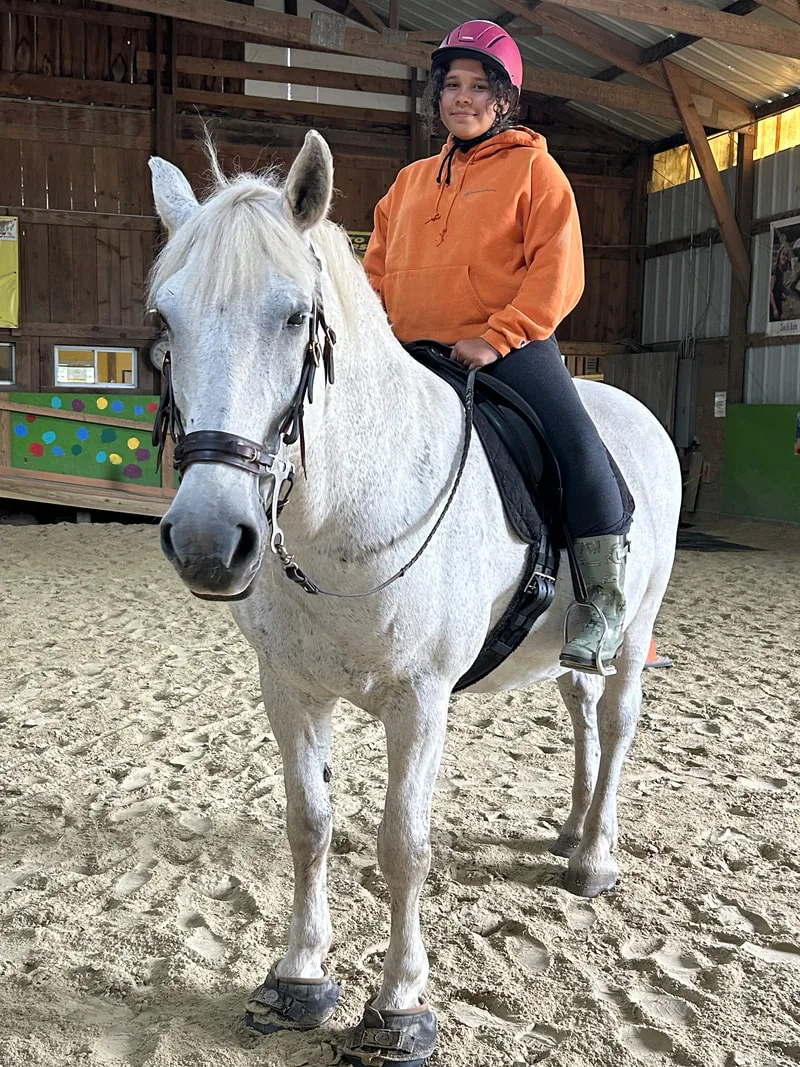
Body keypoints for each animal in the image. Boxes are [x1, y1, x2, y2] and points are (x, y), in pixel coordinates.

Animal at [148, 130, 681, 1066]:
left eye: (296, 316)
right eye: (167, 320)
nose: (210, 540)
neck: (344, 518)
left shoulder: (420, 699)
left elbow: (404, 844)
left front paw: (399, 1005)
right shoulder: (290, 689)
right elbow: (310, 822)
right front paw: (298, 976)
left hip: (634, 628)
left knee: (615, 724)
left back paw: (595, 856)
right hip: (570, 646)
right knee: (580, 710)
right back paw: (571, 829)